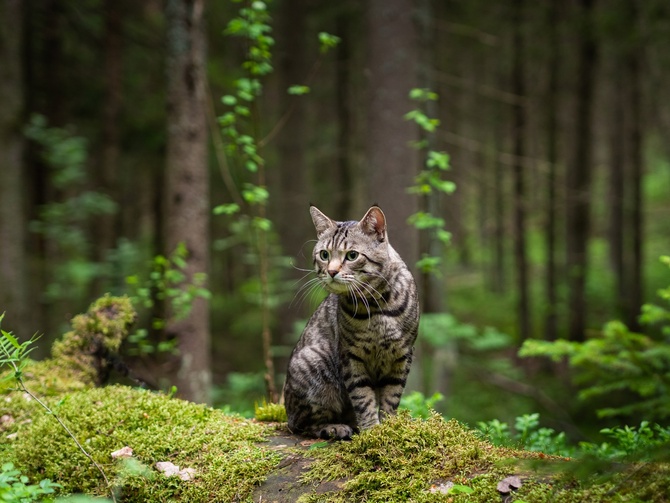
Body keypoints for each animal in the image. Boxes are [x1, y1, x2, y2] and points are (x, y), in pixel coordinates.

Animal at [284, 205, 420, 440]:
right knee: (302, 424)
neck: (377, 306)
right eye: (324, 254)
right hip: (315, 363)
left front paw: (390, 428)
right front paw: (372, 431)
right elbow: (363, 397)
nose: (331, 271)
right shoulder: (350, 355)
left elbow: (391, 398)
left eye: (352, 255)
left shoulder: (402, 355)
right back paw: (335, 427)